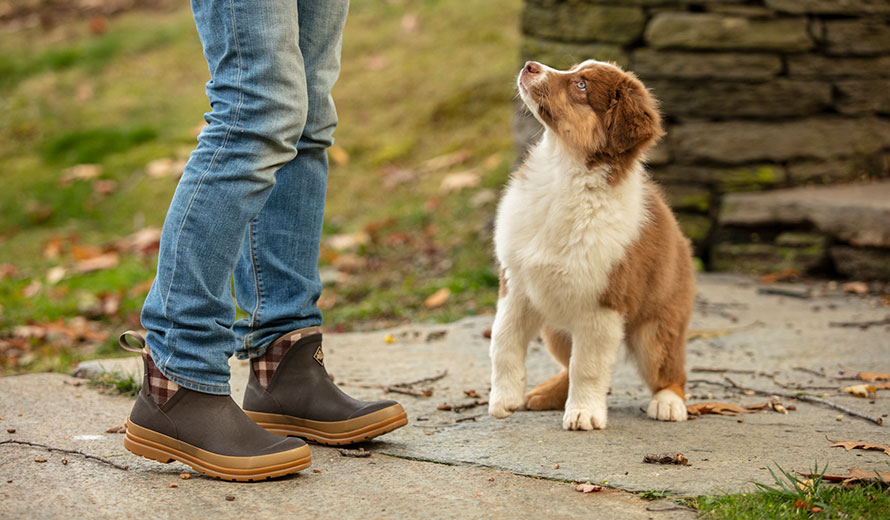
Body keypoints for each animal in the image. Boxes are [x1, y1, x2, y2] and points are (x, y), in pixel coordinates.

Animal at [486, 60, 692, 430]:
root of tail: (682, 240)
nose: (529, 65)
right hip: (554, 329)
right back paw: (543, 395)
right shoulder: (516, 285)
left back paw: (668, 403)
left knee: (670, 369)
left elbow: (589, 367)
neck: (563, 171)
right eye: (572, 69)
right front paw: (503, 400)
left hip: (657, 327)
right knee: (565, 364)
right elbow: (503, 342)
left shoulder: (603, 305)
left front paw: (584, 413)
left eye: (581, 85)